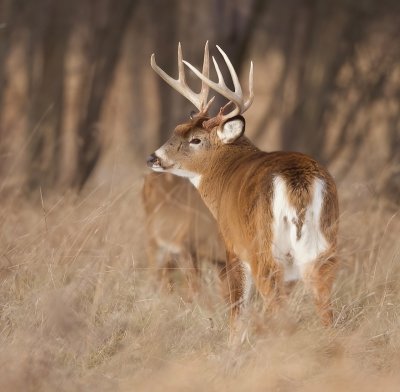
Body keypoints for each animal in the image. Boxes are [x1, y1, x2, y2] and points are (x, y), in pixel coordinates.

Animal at [148, 41, 340, 326]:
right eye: (177, 128)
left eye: (195, 139)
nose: (154, 157)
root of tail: (297, 180)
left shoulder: (231, 243)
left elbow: (237, 308)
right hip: (324, 246)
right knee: (325, 307)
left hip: (263, 247)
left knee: (274, 304)